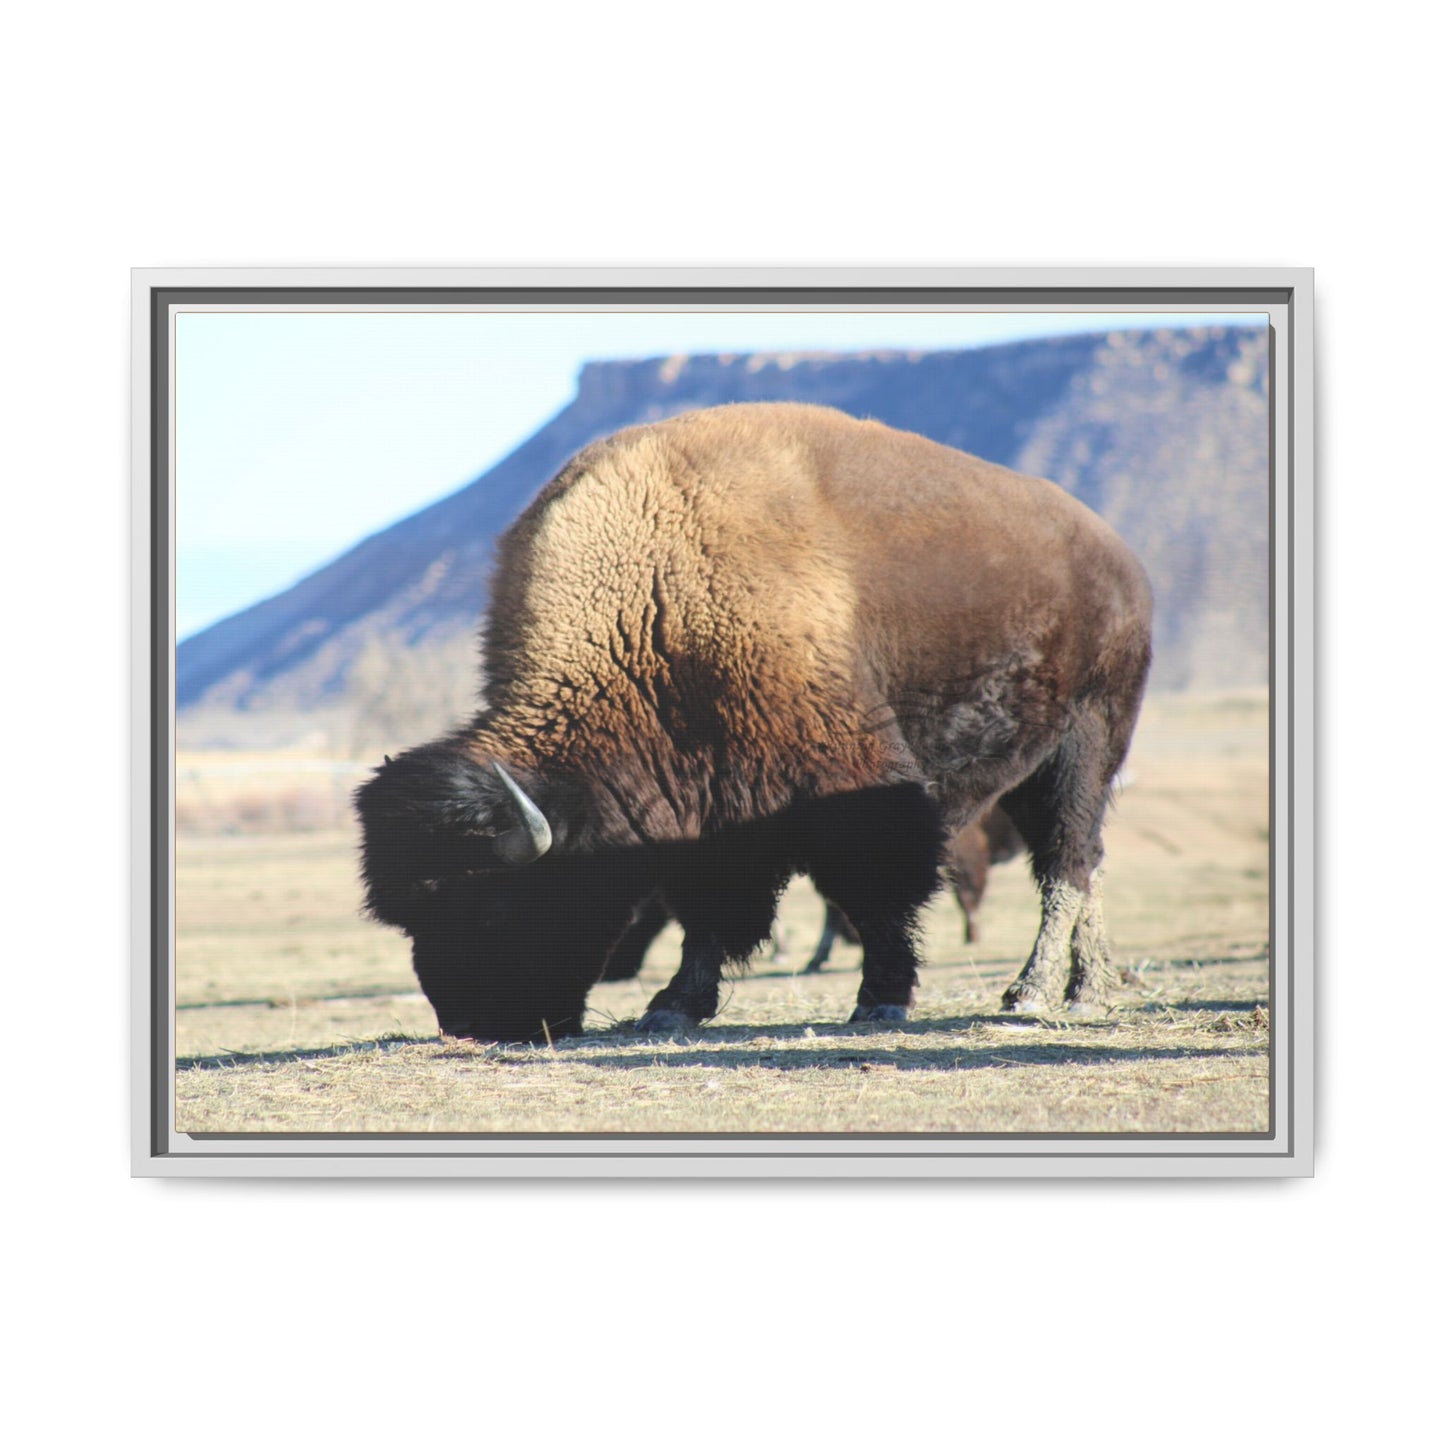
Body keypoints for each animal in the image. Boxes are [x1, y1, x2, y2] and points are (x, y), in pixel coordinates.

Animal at [356, 402, 1152, 1041]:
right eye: (411, 917)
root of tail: (1118, 557)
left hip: (1087, 742)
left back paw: (1036, 993)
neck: (654, 602)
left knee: (1066, 861)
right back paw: (1088, 986)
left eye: (490, 904)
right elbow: (708, 910)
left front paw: (881, 999)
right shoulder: (705, 809)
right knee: (1081, 862)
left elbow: (876, 891)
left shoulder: (850, 784)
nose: (469, 1023)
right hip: (1031, 768)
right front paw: (672, 1006)